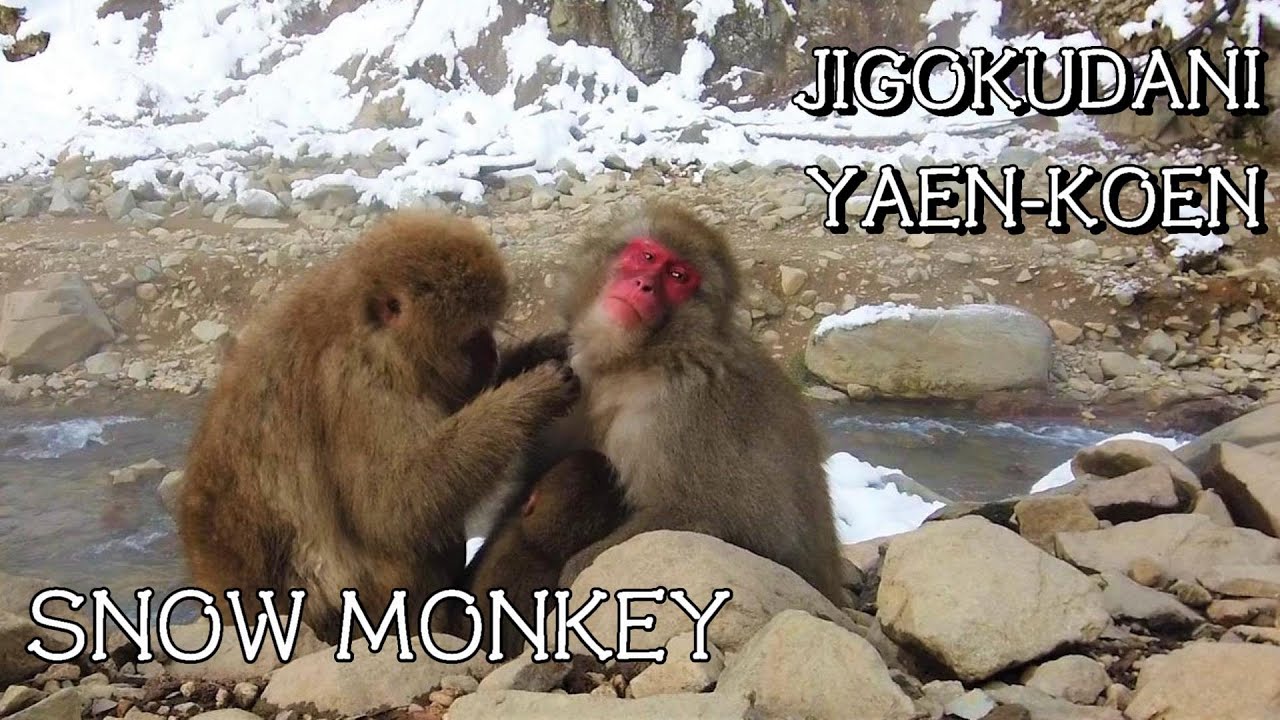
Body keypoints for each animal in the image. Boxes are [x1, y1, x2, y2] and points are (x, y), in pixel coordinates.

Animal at [175, 210, 580, 643]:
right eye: (472, 335)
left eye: (488, 329)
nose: (490, 352)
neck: (361, 322)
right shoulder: (361, 383)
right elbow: (392, 505)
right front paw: (533, 394)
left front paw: (535, 354)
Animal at [553, 203, 847, 605]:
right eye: (647, 257)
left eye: (678, 277)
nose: (643, 285)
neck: (641, 360)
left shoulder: (683, 410)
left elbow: (716, 516)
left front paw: (575, 569)